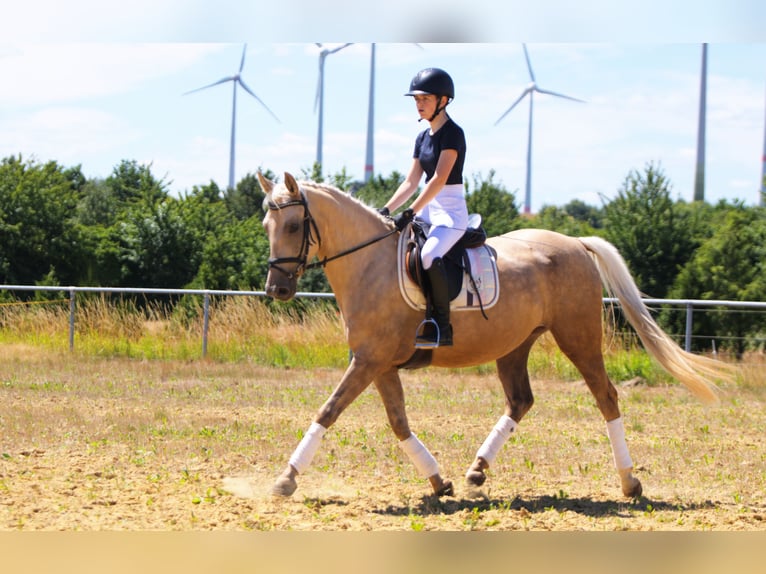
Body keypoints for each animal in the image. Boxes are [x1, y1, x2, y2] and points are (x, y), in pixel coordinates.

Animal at [258, 171, 736, 500]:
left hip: (578, 338)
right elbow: (398, 422)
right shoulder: (379, 363)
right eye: (267, 226)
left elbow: (328, 411)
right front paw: (439, 481)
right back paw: (476, 470)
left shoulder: (368, 361)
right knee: (520, 400)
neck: (368, 264)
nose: (276, 289)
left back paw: (629, 481)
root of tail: (576, 243)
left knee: (606, 397)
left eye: (295, 226)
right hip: (515, 345)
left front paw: (286, 479)